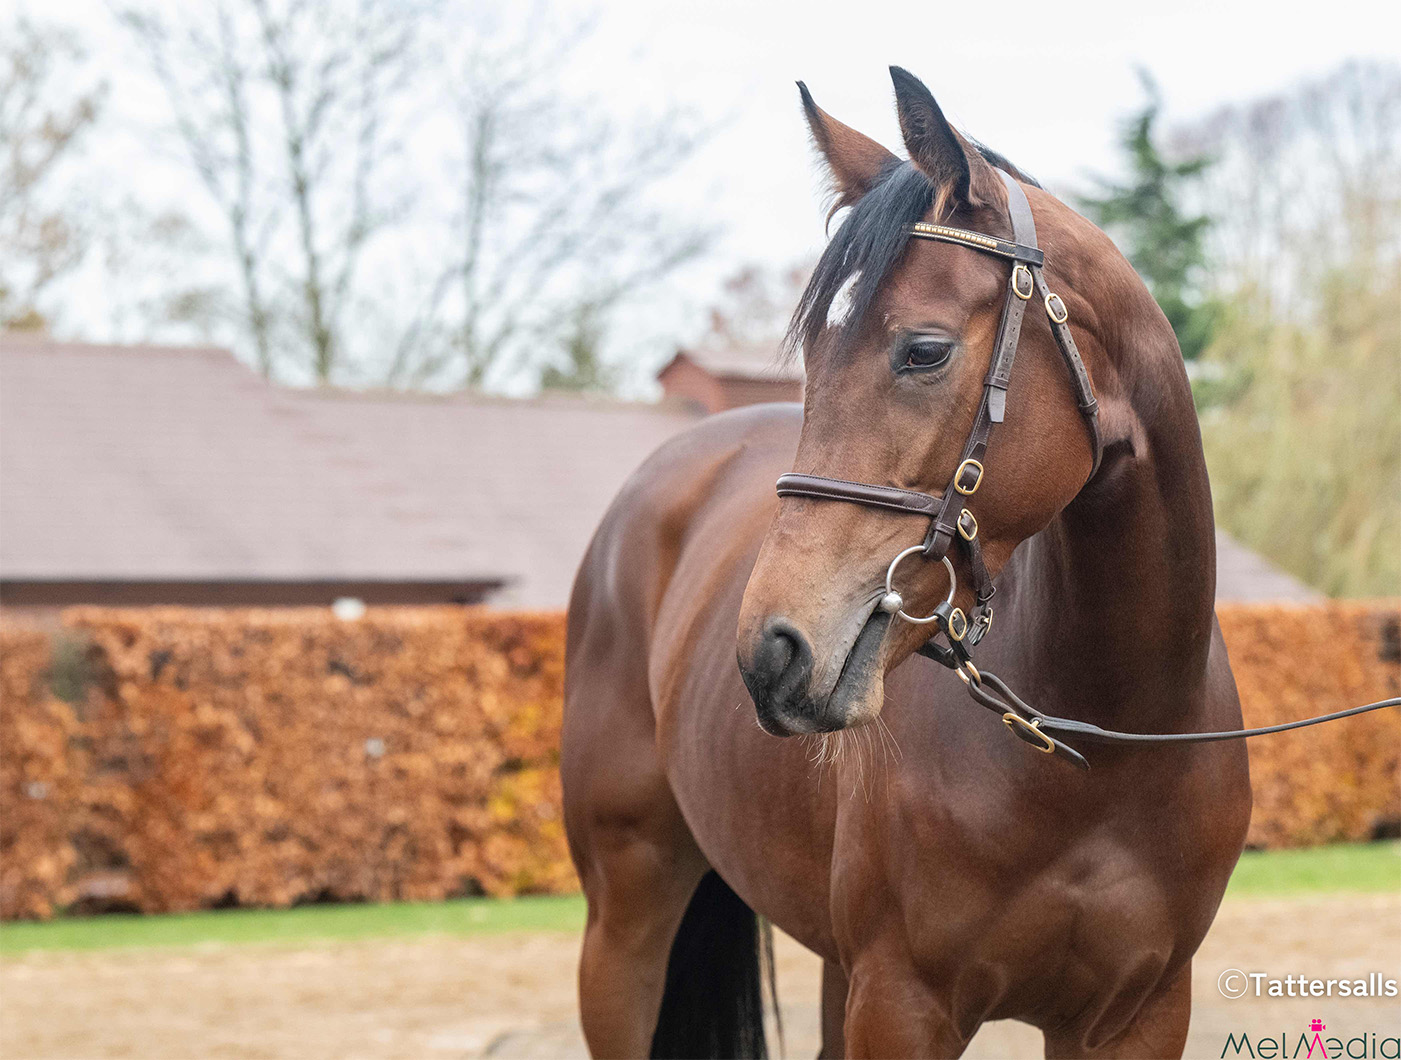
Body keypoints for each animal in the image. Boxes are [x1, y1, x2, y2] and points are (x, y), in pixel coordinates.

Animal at [563, 70, 1255, 1052]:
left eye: (922, 350)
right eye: (812, 354)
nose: (772, 653)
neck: (1101, 748)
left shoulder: (1140, 1013)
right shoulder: (901, 1003)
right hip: (625, 916)